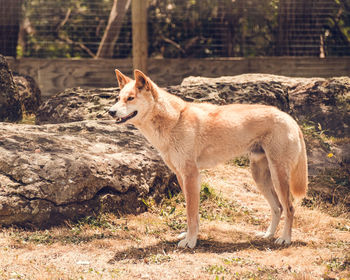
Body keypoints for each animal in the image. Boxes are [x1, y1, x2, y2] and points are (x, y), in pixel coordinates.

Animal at [108, 69, 308, 248]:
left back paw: (285, 239)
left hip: (278, 175)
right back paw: (268, 235)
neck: (175, 120)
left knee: (289, 208)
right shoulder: (182, 176)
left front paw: (190, 241)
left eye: (130, 98)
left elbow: (190, 212)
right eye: (118, 98)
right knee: (278, 208)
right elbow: (193, 213)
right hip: (259, 177)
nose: (110, 112)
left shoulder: (191, 175)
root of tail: (289, 117)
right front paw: (190, 235)